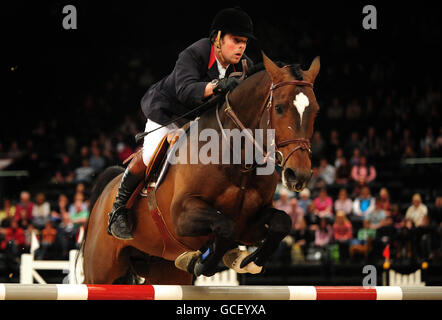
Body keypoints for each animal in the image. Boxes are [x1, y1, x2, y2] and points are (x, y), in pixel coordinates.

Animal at [81, 53, 320, 284]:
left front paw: (249, 260)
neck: (239, 161)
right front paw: (203, 262)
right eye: (279, 108)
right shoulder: (181, 216)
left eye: (315, 111)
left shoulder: (249, 224)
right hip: (100, 272)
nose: (298, 175)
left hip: (164, 272)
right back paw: (120, 221)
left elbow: (281, 222)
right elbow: (226, 226)